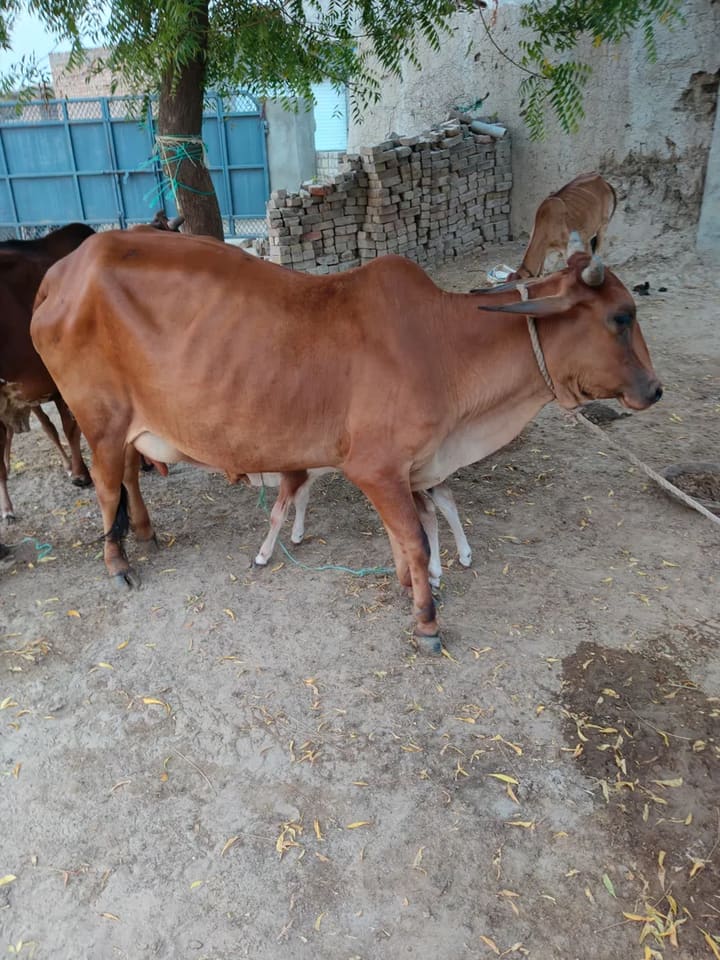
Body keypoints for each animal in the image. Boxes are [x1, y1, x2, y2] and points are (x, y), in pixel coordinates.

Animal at [31, 230, 662, 649]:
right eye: (621, 317)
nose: (655, 390)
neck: (443, 346)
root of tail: (62, 272)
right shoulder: (376, 468)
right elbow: (415, 540)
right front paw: (427, 619)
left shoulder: (407, 471)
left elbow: (406, 537)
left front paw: (411, 586)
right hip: (100, 417)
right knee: (106, 485)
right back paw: (118, 562)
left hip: (126, 424)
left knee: (127, 478)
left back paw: (145, 534)